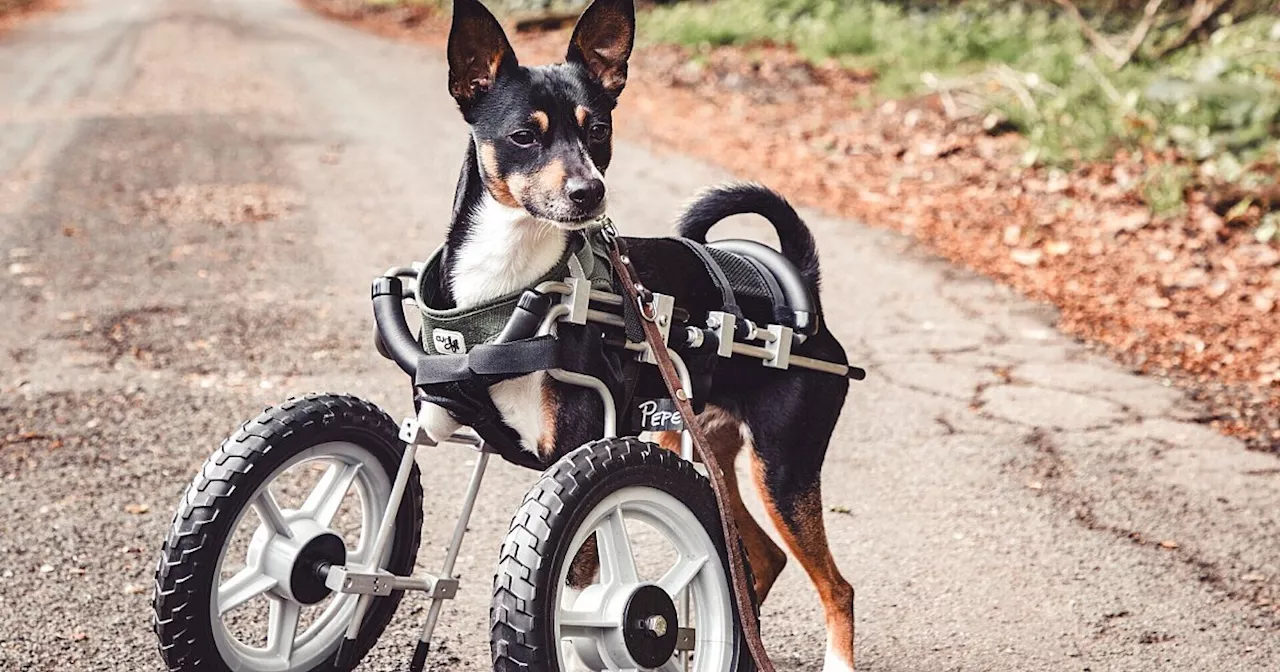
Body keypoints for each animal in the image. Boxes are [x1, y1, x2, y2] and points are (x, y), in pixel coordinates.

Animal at [422, 1, 860, 665]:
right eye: (524, 135)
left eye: (598, 130)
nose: (589, 192)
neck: (511, 280)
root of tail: (803, 291)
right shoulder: (442, 412)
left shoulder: (576, 457)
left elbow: (579, 592)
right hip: (702, 449)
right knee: (758, 559)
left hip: (783, 470)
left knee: (836, 586)